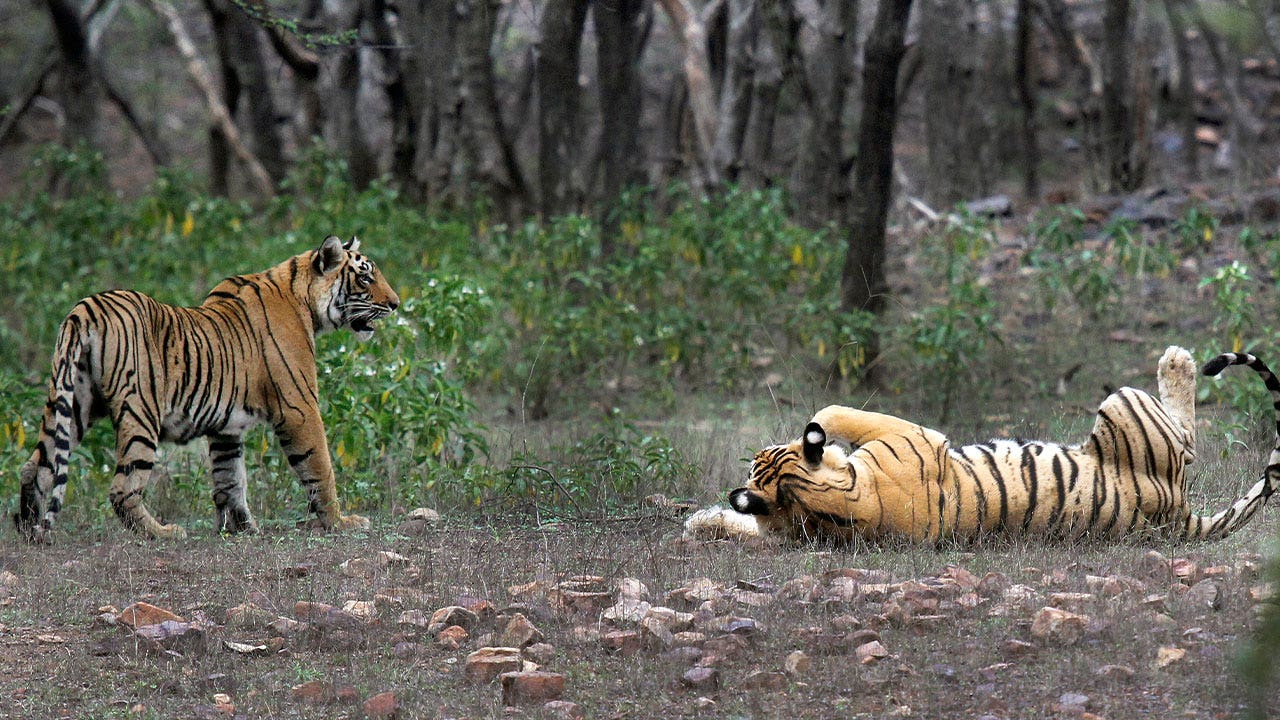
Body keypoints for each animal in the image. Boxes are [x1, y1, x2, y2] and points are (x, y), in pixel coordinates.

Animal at [14, 235, 399, 542]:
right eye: (366, 277)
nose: (395, 304)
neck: (304, 299)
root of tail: (85, 309)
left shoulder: (226, 427)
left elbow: (230, 478)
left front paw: (241, 528)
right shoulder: (299, 408)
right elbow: (320, 468)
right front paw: (341, 522)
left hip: (73, 402)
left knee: (36, 466)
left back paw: (28, 528)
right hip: (140, 411)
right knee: (123, 488)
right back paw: (163, 532)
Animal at [685, 346, 1280, 544]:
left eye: (757, 460)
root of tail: (1176, 515)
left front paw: (702, 521)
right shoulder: (914, 434)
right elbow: (831, 414)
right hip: (1124, 404)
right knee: (1188, 438)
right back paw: (1177, 360)